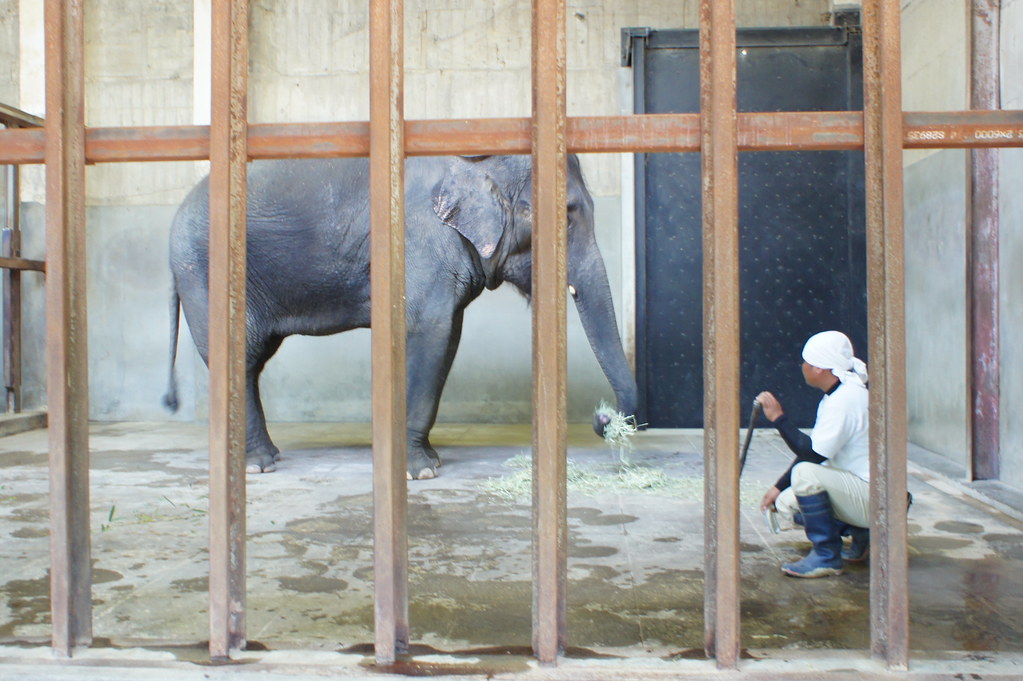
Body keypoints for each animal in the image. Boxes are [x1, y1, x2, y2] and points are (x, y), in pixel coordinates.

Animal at [162, 153, 634, 476]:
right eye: (567, 215)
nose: (601, 418)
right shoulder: (422, 245)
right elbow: (432, 332)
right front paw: (423, 471)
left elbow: (445, 338)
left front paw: (424, 461)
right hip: (204, 271)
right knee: (237, 357)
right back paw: (258, 464)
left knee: (252, 360)